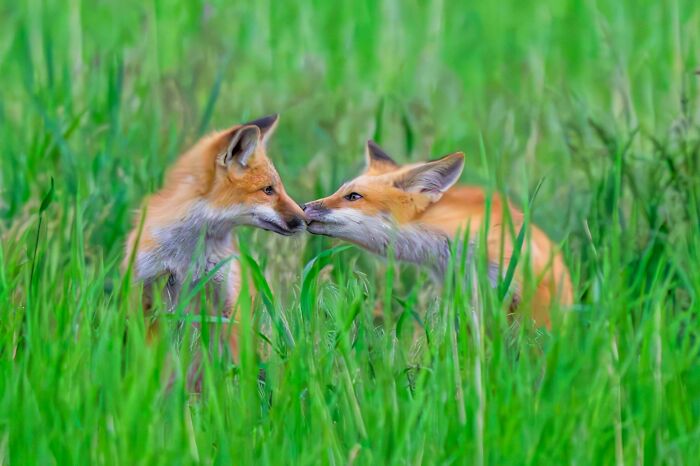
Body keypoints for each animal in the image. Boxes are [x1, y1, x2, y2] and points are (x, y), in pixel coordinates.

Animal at [124, 114, 305, 361]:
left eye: (278, 188)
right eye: (268, 190)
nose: (305, 219)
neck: (188, 256)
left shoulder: (226, 298)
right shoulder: (148, 290)